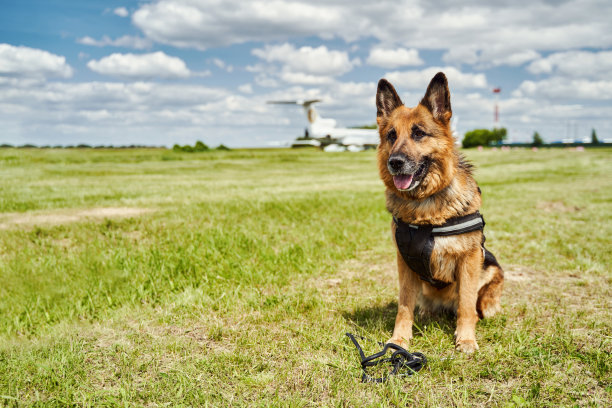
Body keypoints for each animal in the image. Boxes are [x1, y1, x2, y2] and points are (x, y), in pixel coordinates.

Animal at [378, 73, 502, 354]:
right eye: (391, 135)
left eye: (419, 133)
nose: (395, 162)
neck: (425, 207)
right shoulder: (405, 263)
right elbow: (404, 306)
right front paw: (399, 340)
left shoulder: (470, 260)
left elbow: (466, 305)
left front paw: (466, 339)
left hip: (490, 265)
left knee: (481, 300)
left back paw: (487, 309)